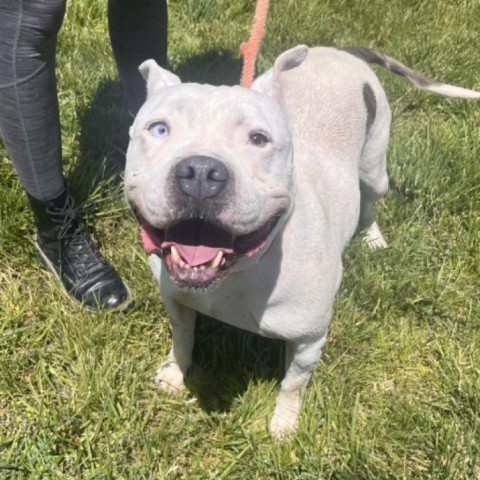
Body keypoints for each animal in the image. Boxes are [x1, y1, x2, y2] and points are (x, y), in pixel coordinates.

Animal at [124, 46, 480, 438]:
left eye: (258, 139)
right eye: (159, 128)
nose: (201, 172)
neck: (238, 272)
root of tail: (340, 50)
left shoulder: (310, 340)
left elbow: (293, 384)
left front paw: (284, 423)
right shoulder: (176, 300)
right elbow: (182, 338)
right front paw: (173, 374)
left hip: (375, 168)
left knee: (370, 201)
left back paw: (373, 238)